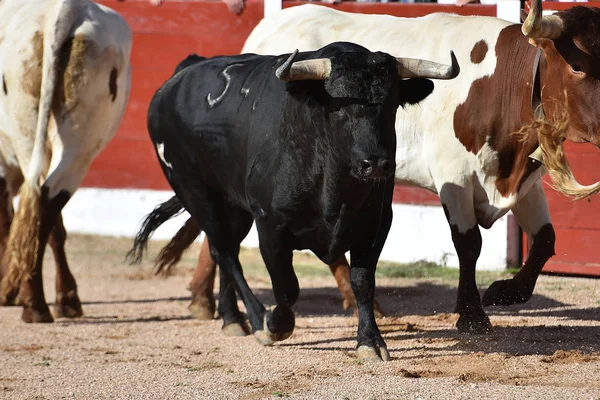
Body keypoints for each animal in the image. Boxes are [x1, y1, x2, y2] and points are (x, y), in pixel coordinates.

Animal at [0, 0, 131, 324]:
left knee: (35, 201)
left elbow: (6, 221)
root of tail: (65, 9)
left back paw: (33, 304)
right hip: (81, 145)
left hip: (29, 138)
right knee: (48, 203)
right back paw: (59, 300)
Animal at [131, 42, 458, 360]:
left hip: (233, 204)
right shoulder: (270, 226)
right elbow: (287, 287)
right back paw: (255, 317)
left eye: (392, 105)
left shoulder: (375, 224)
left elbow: (363, 282)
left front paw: (370, 342)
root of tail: (183, 73)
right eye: (339, 108)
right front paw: (274, 325)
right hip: (195, 191)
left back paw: (232, 319)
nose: (376, 164)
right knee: (225, 251)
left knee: (223, 249)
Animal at [165, 0, 600, 334]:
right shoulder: (454, 177)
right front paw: (473, 315)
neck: (499, 84)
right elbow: (469, 243)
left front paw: (506, 292)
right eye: (579, 66)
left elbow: (545, 240)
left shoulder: (523, 180)